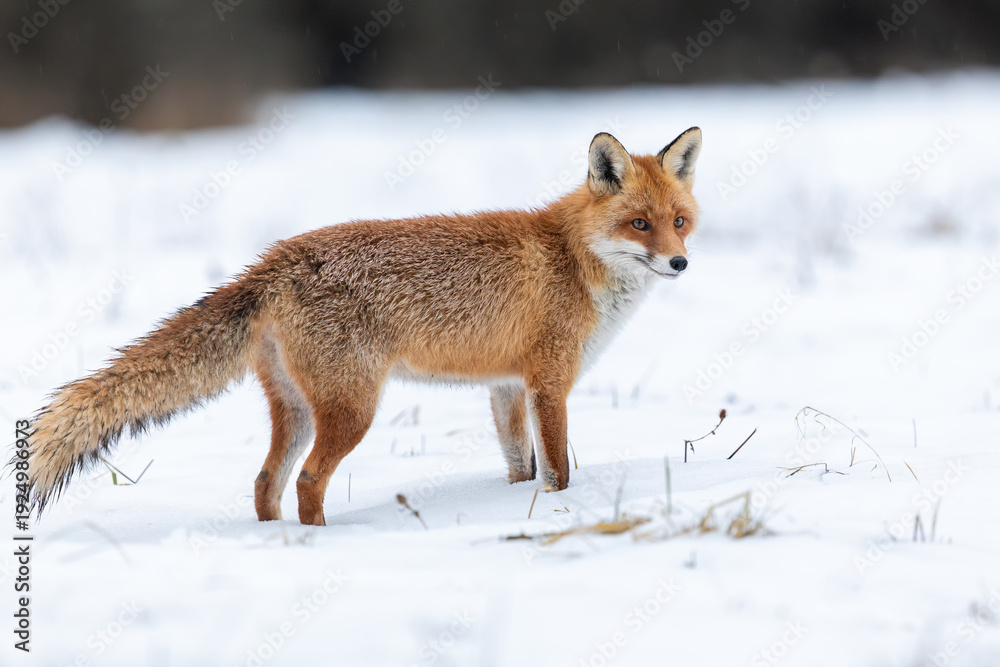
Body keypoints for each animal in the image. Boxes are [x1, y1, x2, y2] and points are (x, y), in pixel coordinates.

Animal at [22, 128, 702, 526]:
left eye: (679, 221)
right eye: (639, 224)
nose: (680, 264)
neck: (574, 259)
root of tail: (274, 259)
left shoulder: (507, 387)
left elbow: (520, 466)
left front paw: (517, 505)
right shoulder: (549, 383)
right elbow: (558, 469)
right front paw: (559, 510)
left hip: (298, 409)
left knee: (265, 482)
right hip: (353, 410)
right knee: (306, 481)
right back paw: (318, 544)